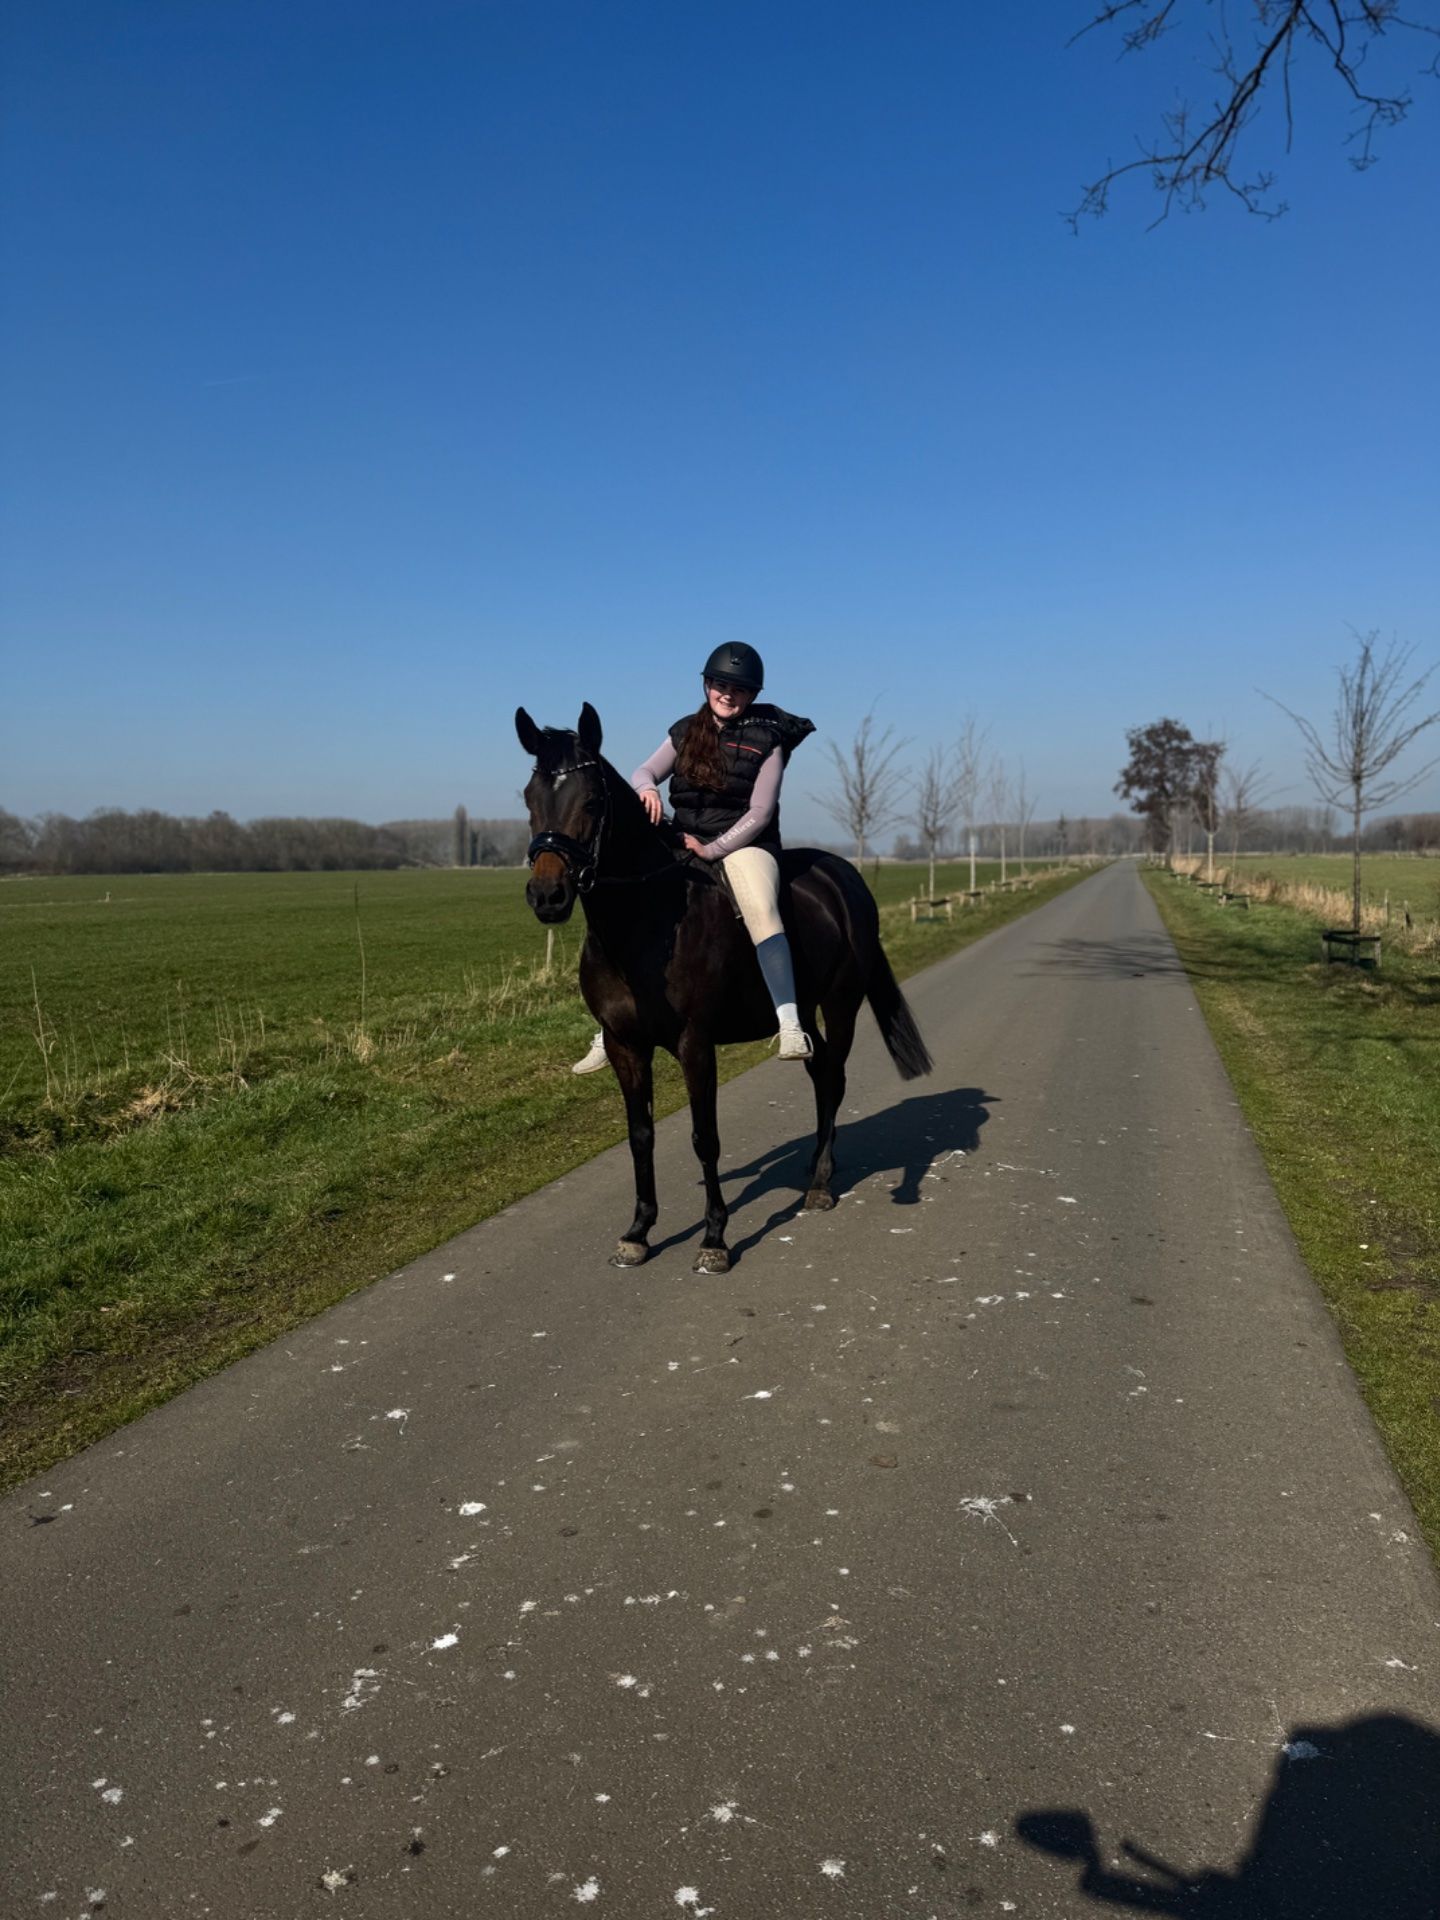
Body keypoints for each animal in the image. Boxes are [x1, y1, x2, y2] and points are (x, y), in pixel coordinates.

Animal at [516, 703, 932, 1273]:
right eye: (529, 798)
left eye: (593, 801)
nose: (547, 896)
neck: (648, 922)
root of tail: (843, 875)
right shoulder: (627, 1046)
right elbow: (640, 1135)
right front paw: (639, 1231)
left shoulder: (696, 1045)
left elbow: (704, 1138)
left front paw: (714, 1237)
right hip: (805, 1008)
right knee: (819, 1071)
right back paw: (814, 1165)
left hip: (841, 1004)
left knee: (834, 1076)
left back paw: (821, 1184)